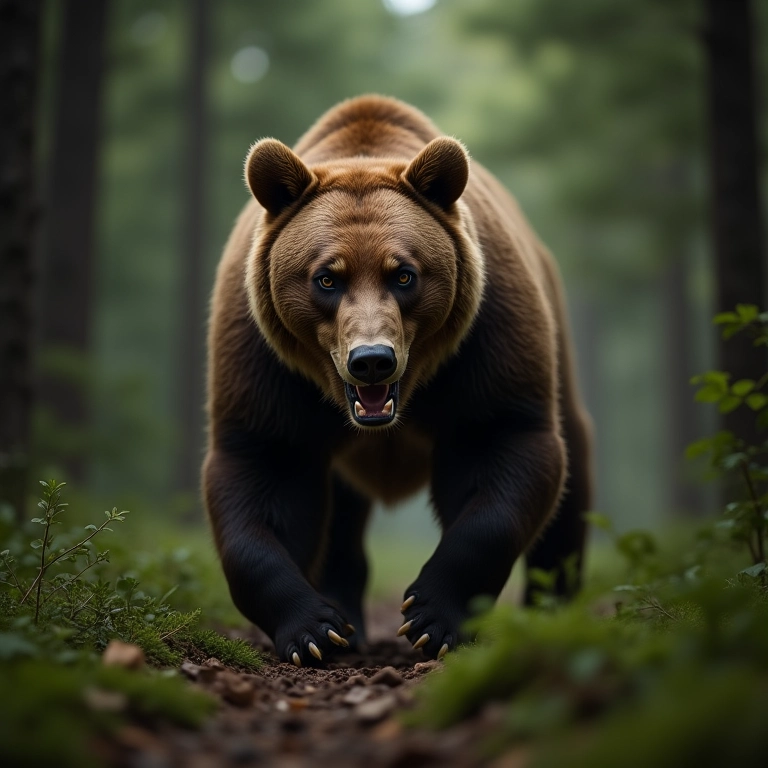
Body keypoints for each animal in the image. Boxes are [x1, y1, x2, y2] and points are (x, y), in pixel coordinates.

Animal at [203, 95, 593, 666]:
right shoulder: (267, 365)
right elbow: (265, 471)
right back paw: (347, 621)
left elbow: (502, 445)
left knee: (571, 479)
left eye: (404, 273)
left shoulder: (483, 343)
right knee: (341, 521)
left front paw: (431, 614)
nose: (372, 359)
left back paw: (551, 609)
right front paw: (314, 628)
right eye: (327, 277)